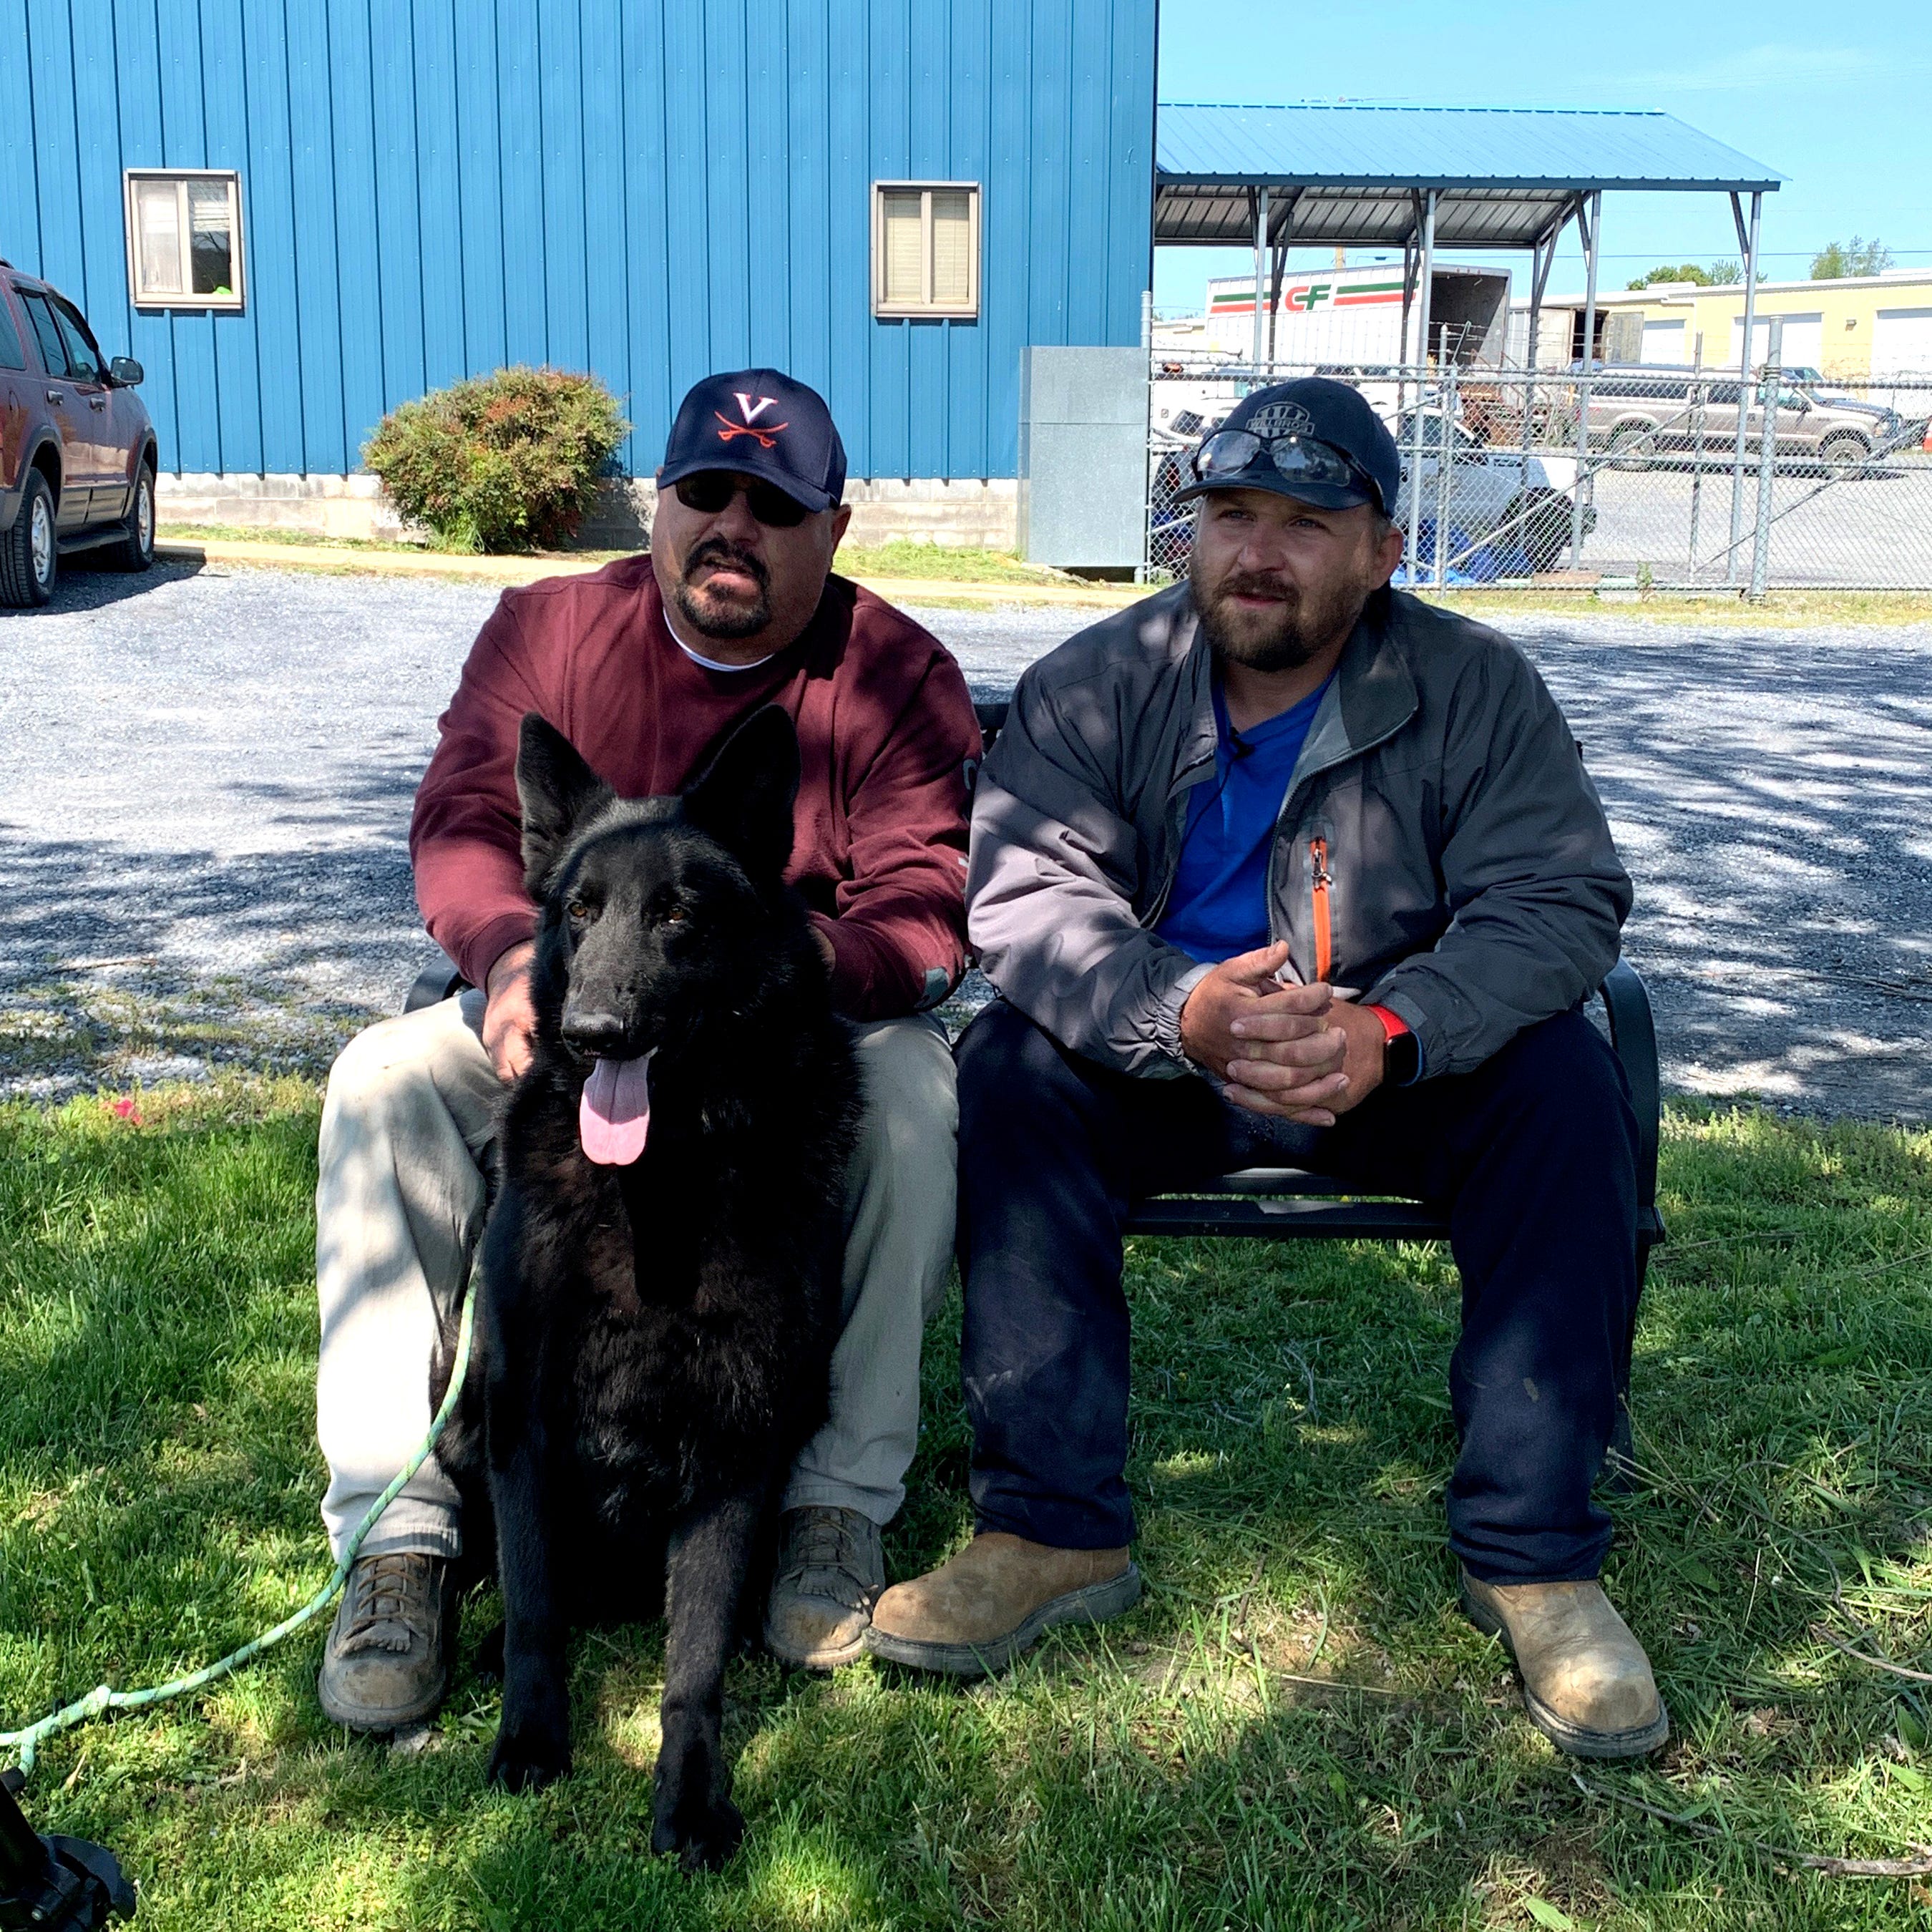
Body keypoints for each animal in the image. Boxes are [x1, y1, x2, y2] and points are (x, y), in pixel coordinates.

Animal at [442, 703, 865, 1862]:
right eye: (581, 912)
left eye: (677, 915)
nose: (592, 1034)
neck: (662, 1176)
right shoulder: (522, 1419)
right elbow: (537, 1610)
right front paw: (531, 1740)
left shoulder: (738, 1441)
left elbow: (696, 1659)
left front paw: (689, 1794)